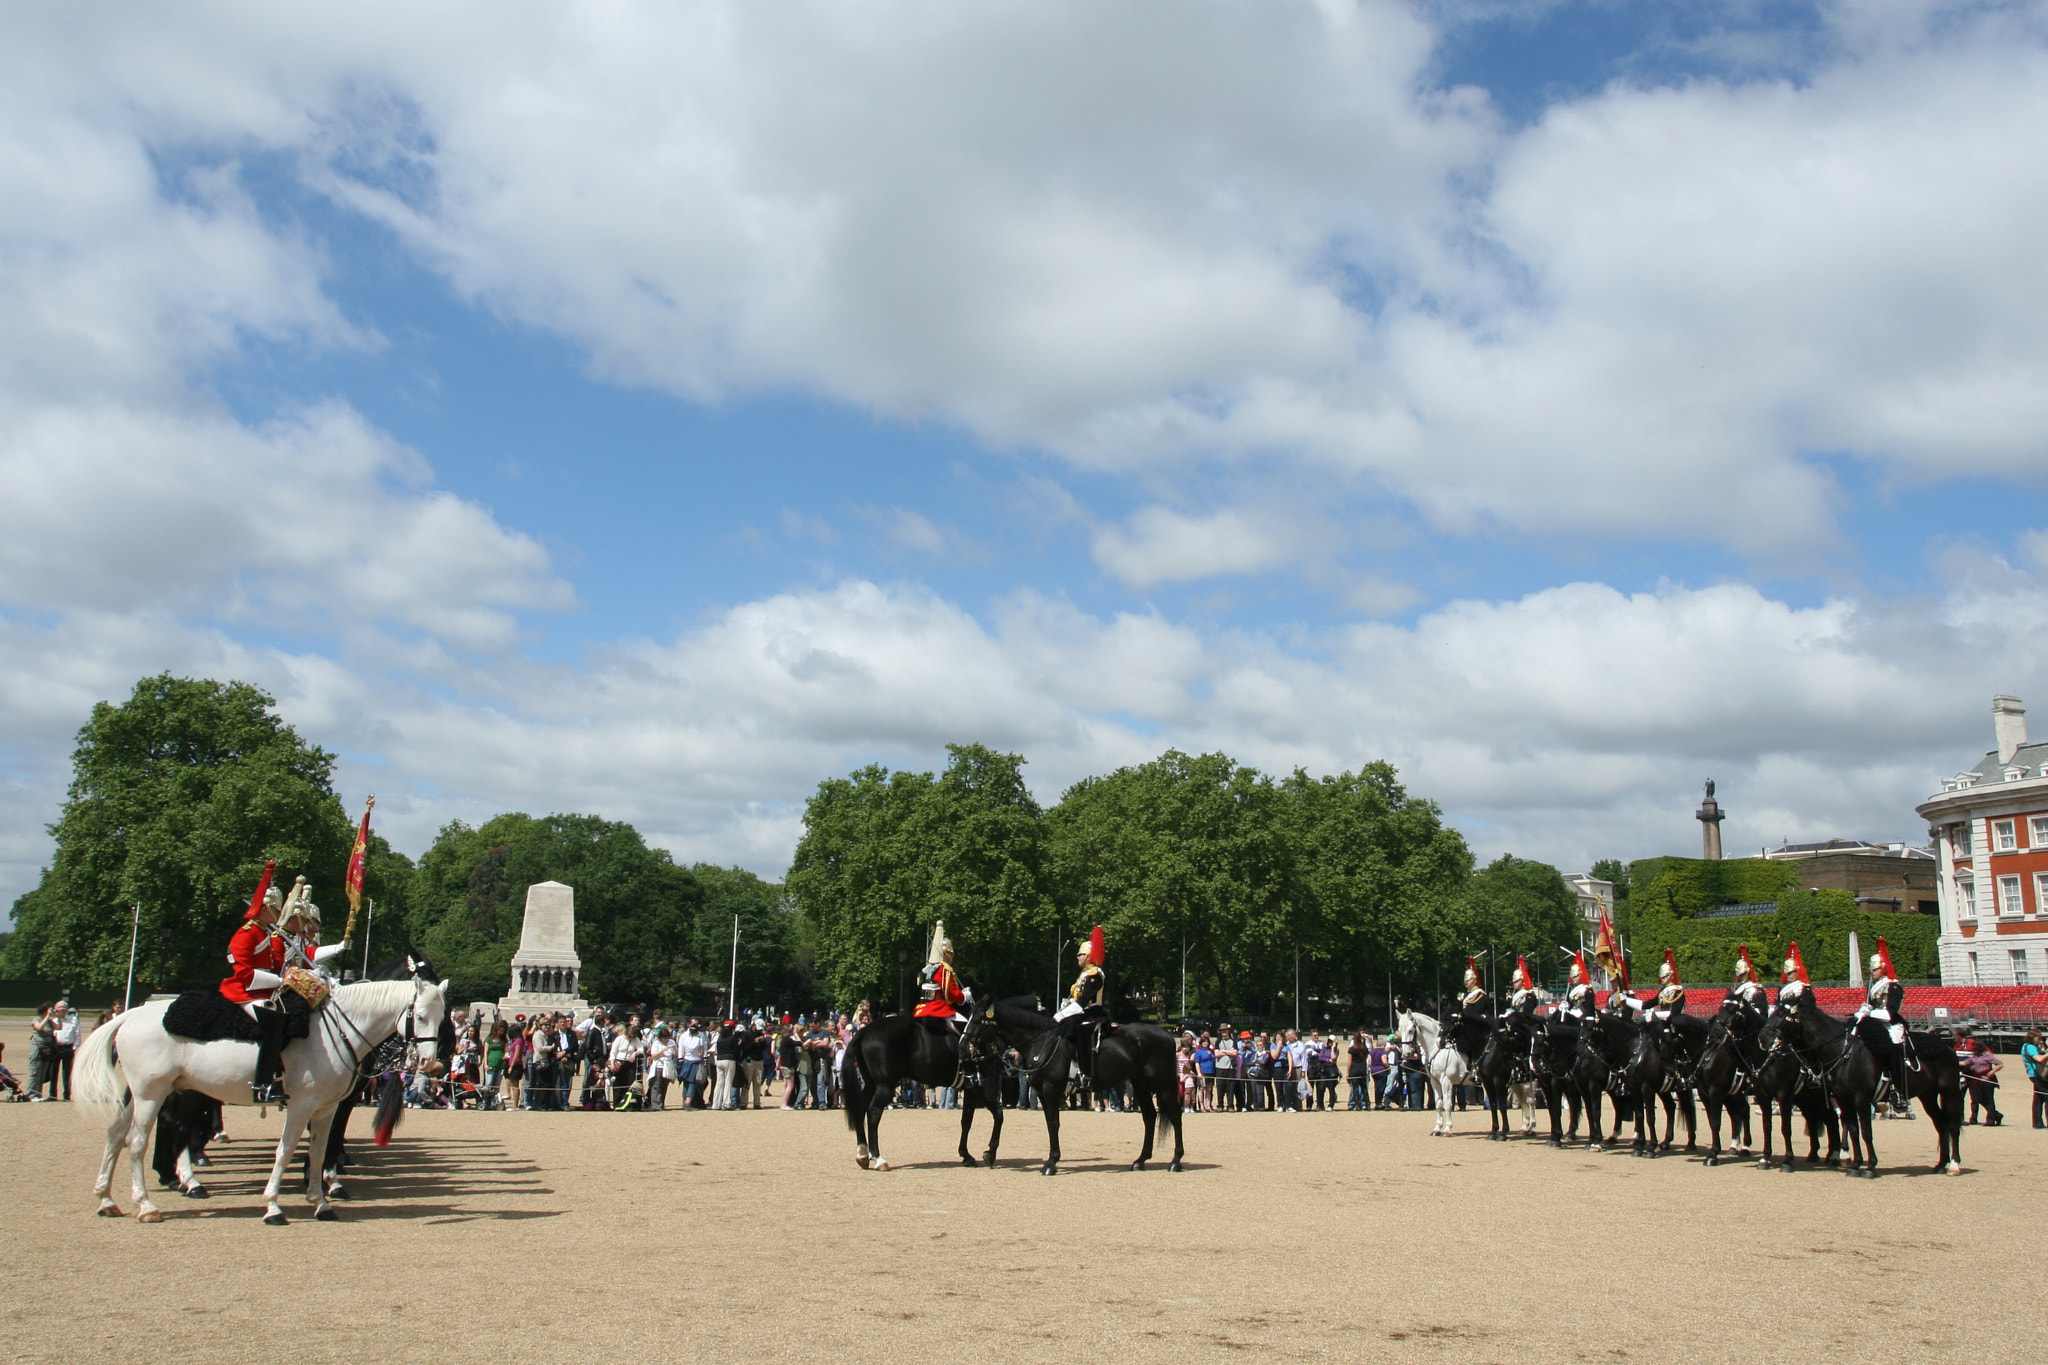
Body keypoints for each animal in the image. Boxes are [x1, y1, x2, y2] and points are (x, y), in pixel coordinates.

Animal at [78, 970, 444, 1227]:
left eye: (442, 1017)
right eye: (420, 1016)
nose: (430, 1062)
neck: (338, 1031)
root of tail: (131, 1014)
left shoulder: (326, 1108)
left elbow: (319, 1151)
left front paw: (321, 1201)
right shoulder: (302, 1104)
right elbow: (285, 1151)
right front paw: (273, 1207)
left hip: (155, 1092)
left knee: (116, 1134)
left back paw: (107, 1200)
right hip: (152, 1093)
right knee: (139, 1141)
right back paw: (149, 1203)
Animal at [835, 1015, 1003, 1178]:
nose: (965, 1049)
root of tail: (866, 1030)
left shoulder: (971, 1090)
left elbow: (967, 1121)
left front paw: (967, 1155)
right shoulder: (981, 1089)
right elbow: (998, 1116)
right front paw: (990, 1154)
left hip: (871, 1084)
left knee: (859, 1110)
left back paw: (862, 1155)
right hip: (885, 1086)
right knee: (873, 1114)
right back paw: (878, 1158)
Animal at [974, 998, 1187, 1178]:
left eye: (977, 1021)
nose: (966, 1047)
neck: (1041, 1042)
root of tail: (1167, 1035)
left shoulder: (1051, 1089)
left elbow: (1054, 1123)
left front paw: (1051, 1163)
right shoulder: (1042, 1092)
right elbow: (1050, 1123)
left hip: (1163, 1083)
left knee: (1175, 1115)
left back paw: (1175, 1161)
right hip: (1140, 1084)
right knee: (1149, 1116)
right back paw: (1140, 1160)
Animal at [1777, 998, 1966, 1178]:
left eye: (1783, 1017)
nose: (1770, 1044)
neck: (1844, 1053)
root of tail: (1947, 1046)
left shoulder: (1862, 1099)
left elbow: (1866, 1132)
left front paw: (1870, 1167)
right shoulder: (1845, 1100)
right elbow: (1854, 1130)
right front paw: (1855, 1165)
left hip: (1950, 1092)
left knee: (1953, 1125)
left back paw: (1954, 1166)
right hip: (1928, 1095)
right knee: (1941, 1124)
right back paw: (1941, 1165)